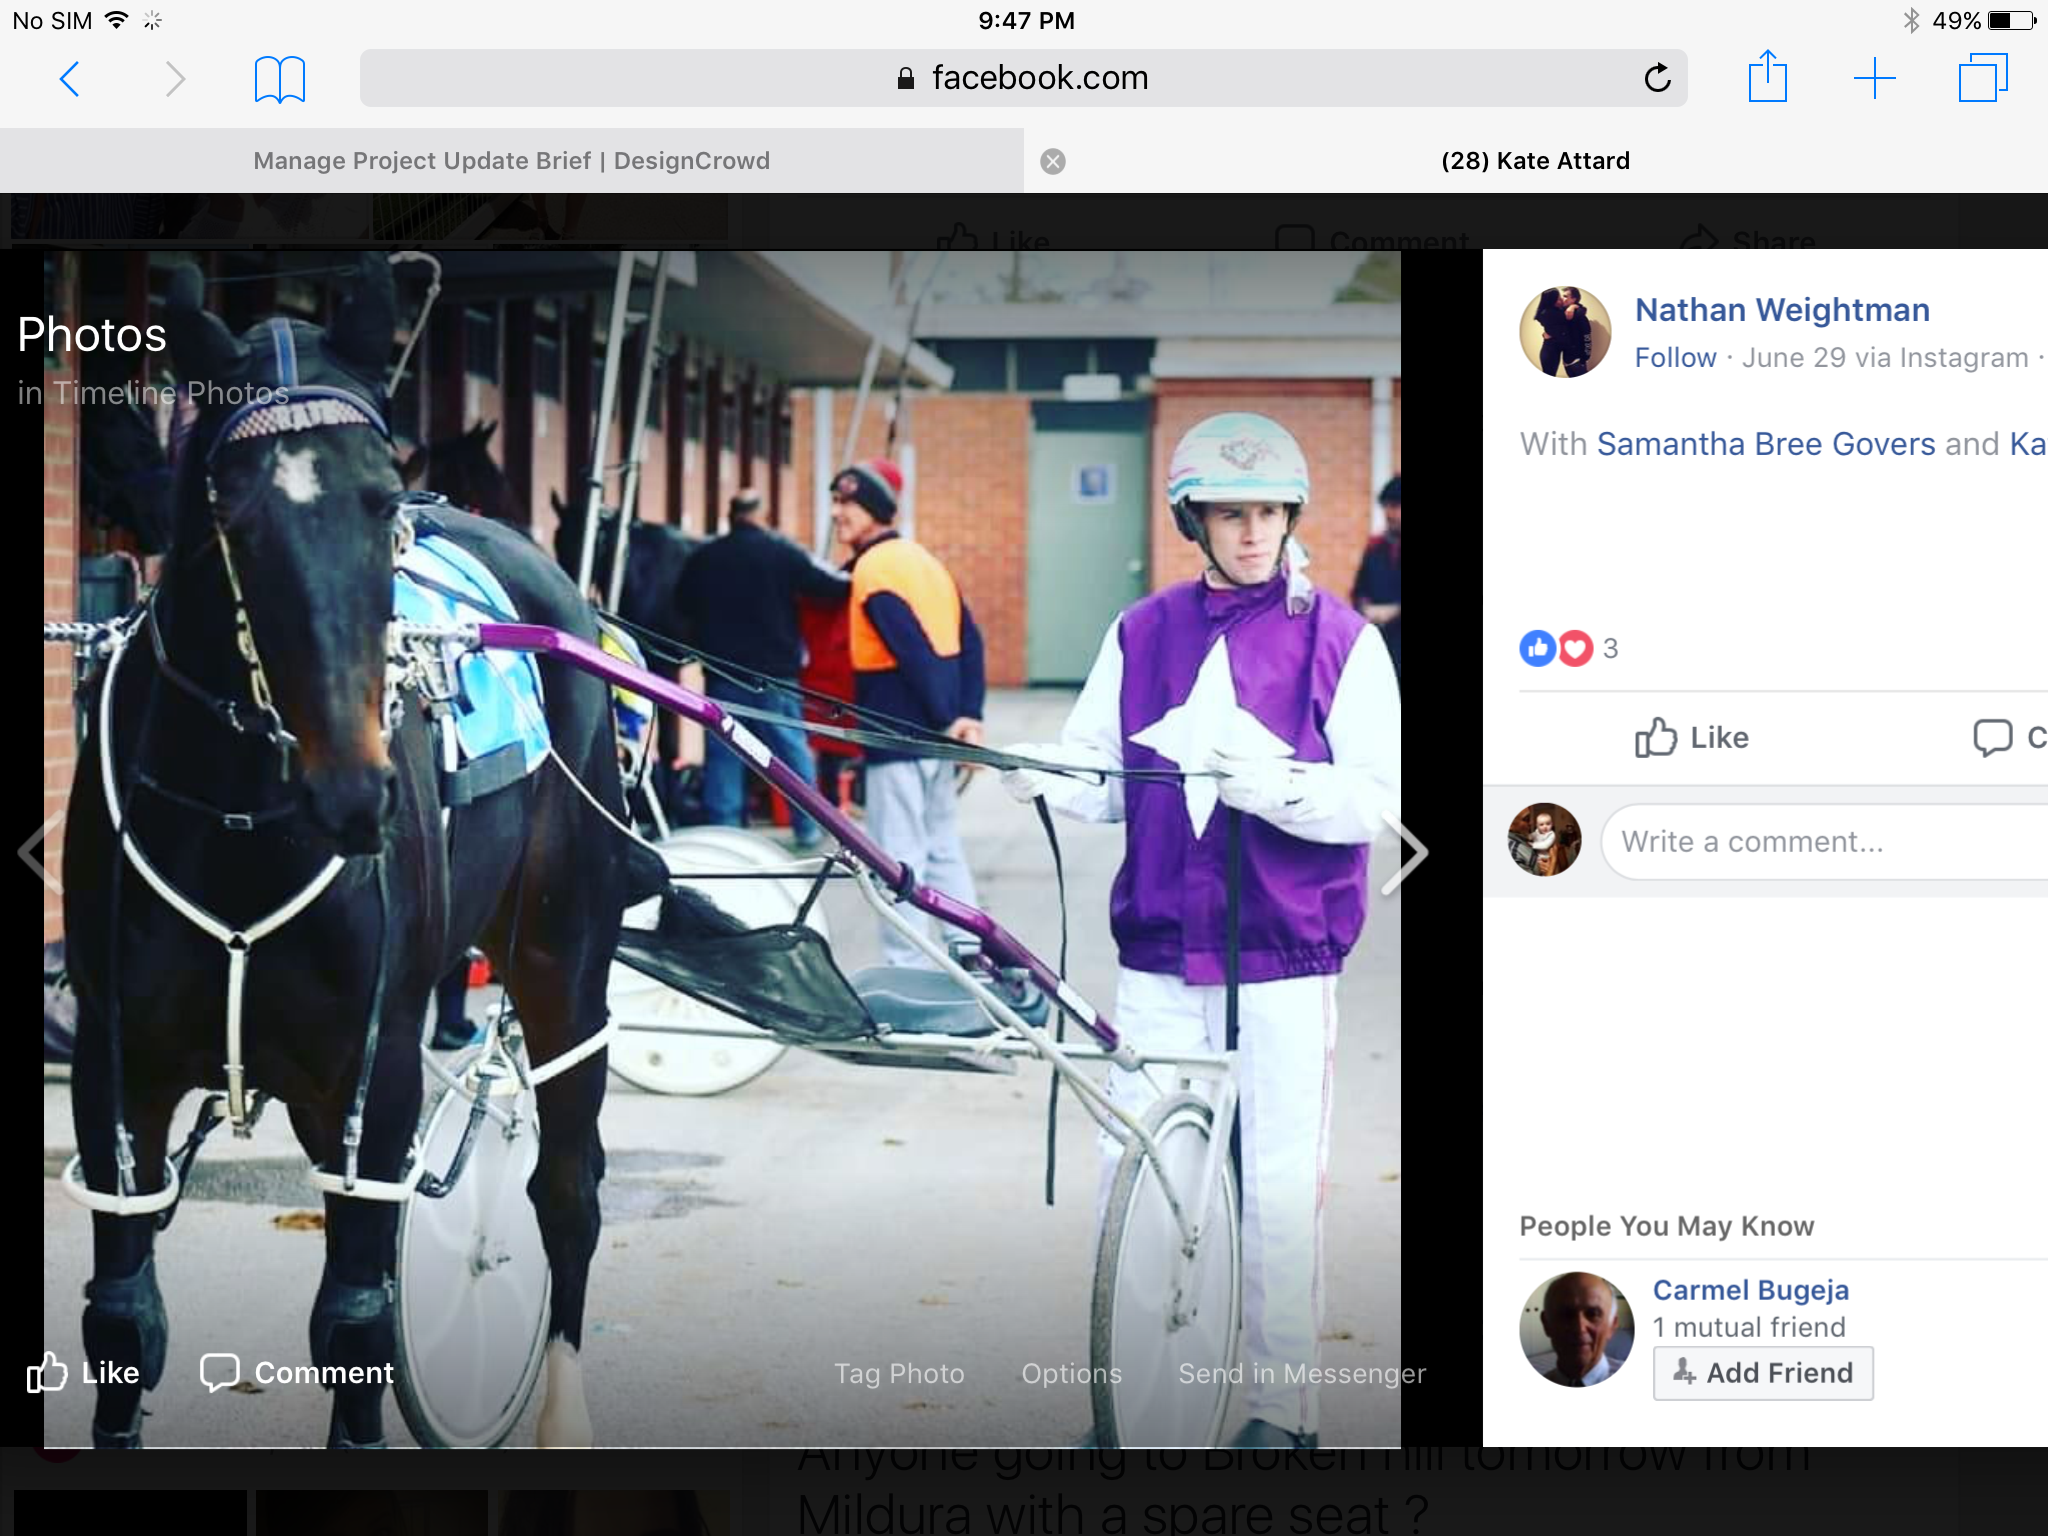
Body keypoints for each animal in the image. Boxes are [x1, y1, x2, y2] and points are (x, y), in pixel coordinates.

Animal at [61, 252, 663, 1448]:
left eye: (381, 499)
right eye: (227, 509)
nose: (352, 788)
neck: (242, 823)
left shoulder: (369, 1076)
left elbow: (354, 1319)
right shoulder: (115, 1070)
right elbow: (122, 1319)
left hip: (565, 960)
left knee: (569, 1188)